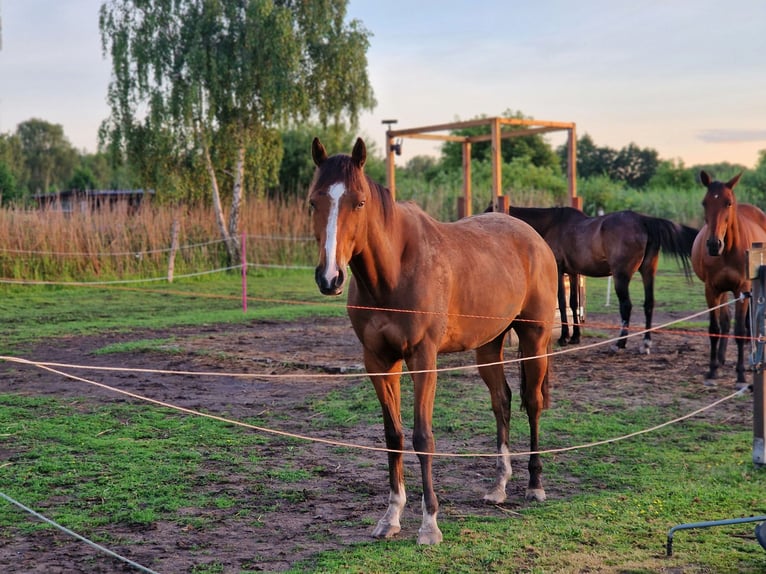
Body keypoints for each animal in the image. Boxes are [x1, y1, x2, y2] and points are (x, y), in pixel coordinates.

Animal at [310, 137, 560, 548]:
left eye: (358, 202)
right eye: (314, 202)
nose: (330, 277)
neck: (394, 271)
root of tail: (533, 237)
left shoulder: (423, 359)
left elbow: (422, 437)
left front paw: (429, 524)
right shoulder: (378, 361)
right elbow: (393, 435)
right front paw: (390, 517)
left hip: (534, 338)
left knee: (532, 402)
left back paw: (535, 484)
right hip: (487, 347)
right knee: (502, 401)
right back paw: (499, 485)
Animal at [496, 205, 700, 354]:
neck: (553, 225)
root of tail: (643, 220)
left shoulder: (560, 270)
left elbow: (562, 303)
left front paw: (564, 337)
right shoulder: (573, 272)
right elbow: (573, 304)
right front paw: (575, 337)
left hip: (621, 276)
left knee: (626, 306)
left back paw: (619, 343)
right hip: (648, 272)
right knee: (649, 304)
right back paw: (645, 344)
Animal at [692, 171, 766, 388]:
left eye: (728, 203)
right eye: (705, 202)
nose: (713, 244)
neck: (728, 250)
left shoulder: (741, 288)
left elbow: (740, 330)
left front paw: (740, 375)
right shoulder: (712, 289)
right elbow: (714, 328)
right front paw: (712, 371)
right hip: (723, 291)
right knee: (725, 322)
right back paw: (721, 359)